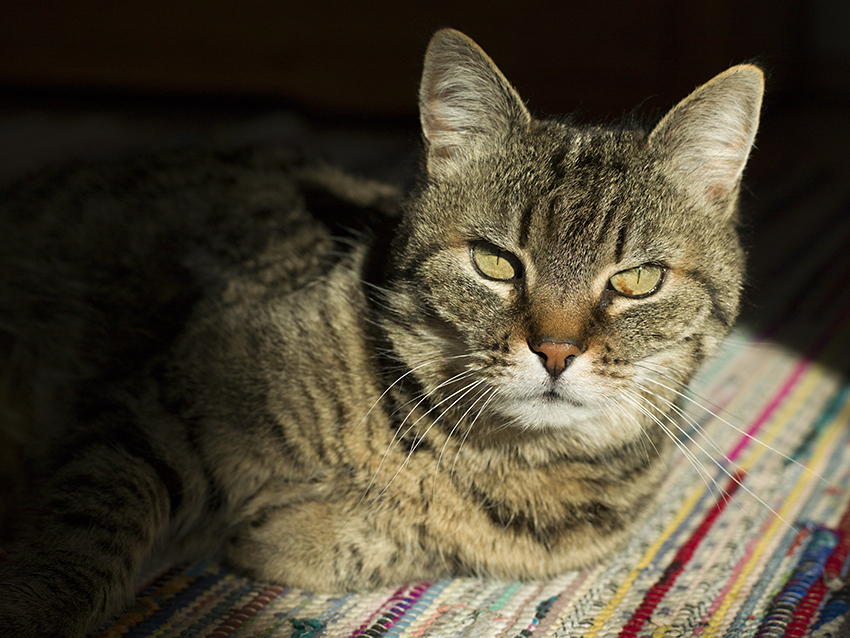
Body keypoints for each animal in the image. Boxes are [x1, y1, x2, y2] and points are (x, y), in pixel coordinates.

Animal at [0, 28, 760, 638]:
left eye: (639, 280)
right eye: (494, 262)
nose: (556, 350)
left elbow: (375, 544)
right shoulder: (163, 403)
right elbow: (85, 538)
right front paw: (35, 609)